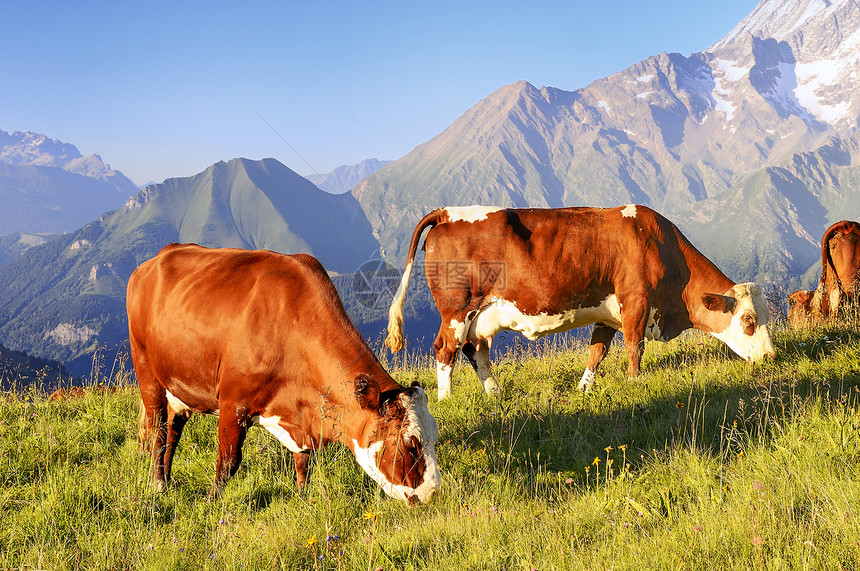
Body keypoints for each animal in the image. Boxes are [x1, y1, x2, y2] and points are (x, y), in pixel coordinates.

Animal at [126, 244, 444, 502]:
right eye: (410, 444)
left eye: (434, 438)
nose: (433, 493)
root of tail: (153, 261)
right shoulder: (232, 402)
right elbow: (228, 461)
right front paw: (212, 502)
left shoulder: (304, 418)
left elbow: (304, 461)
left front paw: (302, 497)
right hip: (147, 371)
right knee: (158, 429)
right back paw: (158, 485)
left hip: (178, 387)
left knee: (172, 431)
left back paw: (166, 481)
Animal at [386, 204, 776, 398]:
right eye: (748, 320)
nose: (772, 356)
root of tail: (446, 212)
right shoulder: (635, 301)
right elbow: (634, 347)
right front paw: (635, 383)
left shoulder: (608, 312)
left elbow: (597, 351)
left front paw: (584, 387)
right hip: (456, 308)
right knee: (445, 349)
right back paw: (445, 398)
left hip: (481, 315)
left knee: (475, 350)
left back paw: (495, 393)